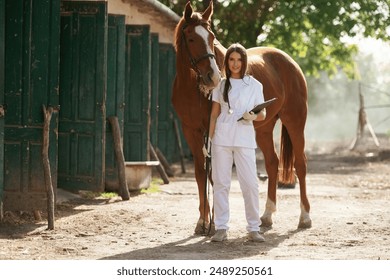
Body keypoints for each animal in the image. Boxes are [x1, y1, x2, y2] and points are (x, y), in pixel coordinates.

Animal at [172, 2, 312, 234]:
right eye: (191, 38)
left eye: (211, 37)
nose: (213, 77)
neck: (194, 89)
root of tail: (289, 61)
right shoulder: (190, 130)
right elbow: (201, 173)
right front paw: (202, 221)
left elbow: (214, 174)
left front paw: (212, 222)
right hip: (263, 128)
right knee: (272, 163)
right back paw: (267, 215)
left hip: (295, 120)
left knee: (300, 164)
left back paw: (305, 217)